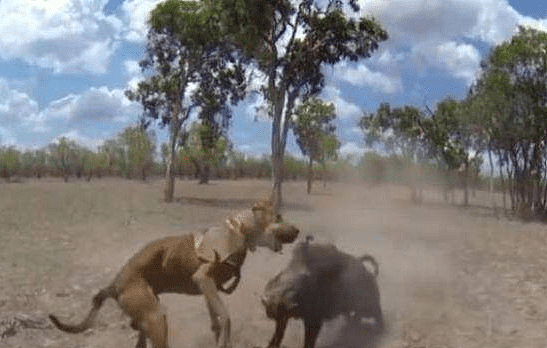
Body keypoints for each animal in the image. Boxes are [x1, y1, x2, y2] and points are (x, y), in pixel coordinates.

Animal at [49, 201, 300, 348]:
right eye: (278, 217)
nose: (299, 231)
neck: (238, 229)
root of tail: (115, 284)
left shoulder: (208, 288)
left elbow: (216, 323)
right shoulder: (203, 279)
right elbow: (226, 319)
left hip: (148, 316)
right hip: (156, 318)